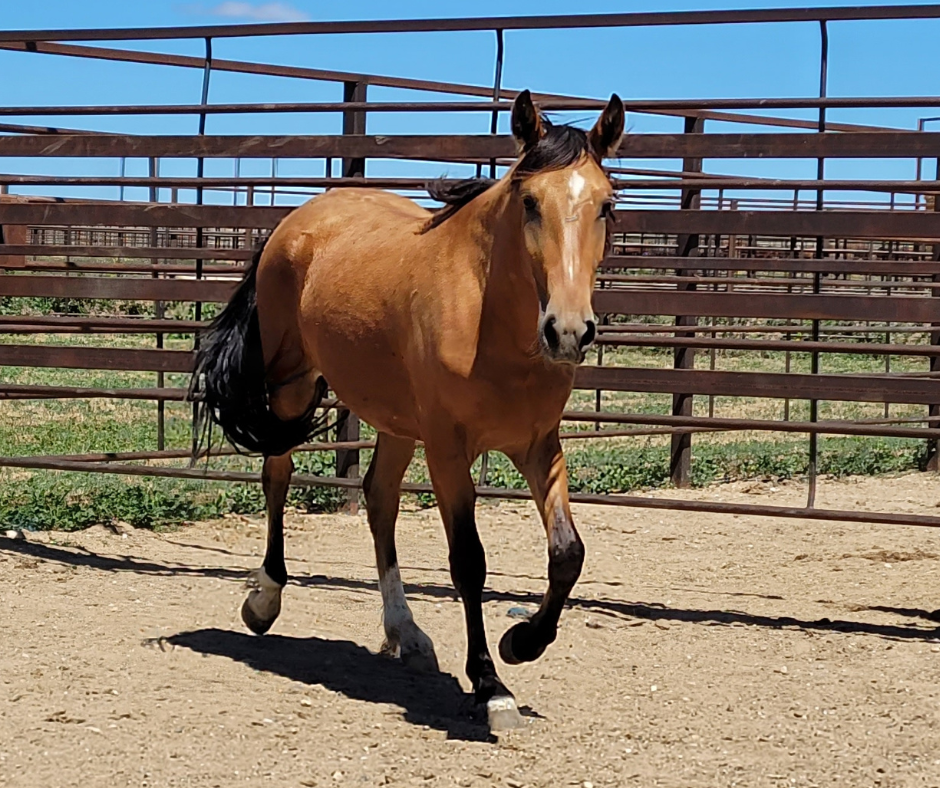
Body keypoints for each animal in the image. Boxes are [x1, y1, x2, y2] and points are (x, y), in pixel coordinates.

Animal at [190, 90, 624, 731]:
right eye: (529, 202)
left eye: (605, 206)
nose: (568, 331)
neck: (489, 319)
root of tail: (297, 221)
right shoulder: (447, 449)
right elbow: (469, 561)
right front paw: (491, 687)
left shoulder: (538, 444)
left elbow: (568, 553)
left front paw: (521, 642)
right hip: (292, 386)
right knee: (278, 475)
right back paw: (264, 599)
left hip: (394, 419)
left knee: (378, 499)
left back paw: (406, 632)